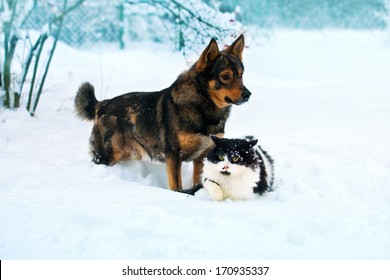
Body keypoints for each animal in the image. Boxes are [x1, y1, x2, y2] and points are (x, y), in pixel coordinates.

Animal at [74, 34, 251, 191]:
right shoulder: (174, 155)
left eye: (241, 75)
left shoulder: (203, 156)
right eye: (225, 76)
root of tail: (102, 104)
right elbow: (177, 187)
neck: (202, 105)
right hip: (108, 154)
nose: (248, 94)